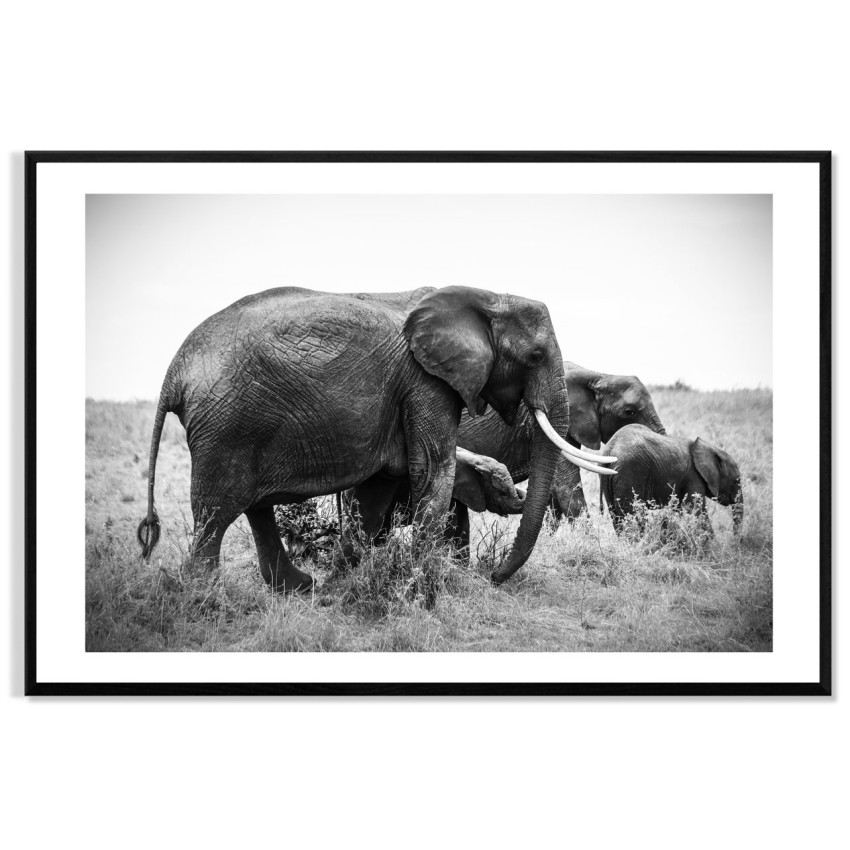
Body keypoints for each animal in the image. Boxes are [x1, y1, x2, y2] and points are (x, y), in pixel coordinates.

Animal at [137, 285, 613, 593]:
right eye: (534, 355)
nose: (492, 577)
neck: (485, 296)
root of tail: (173, 374)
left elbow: (380, 487)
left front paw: (353, 573)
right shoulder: (426, 383)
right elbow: (432, 469)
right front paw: (421, 581)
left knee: (253, 507)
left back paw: (301, 588)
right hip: (228, 426)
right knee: (217, 508)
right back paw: (205, 596)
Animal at [599, 424, 743, 534]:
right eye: (737, 481)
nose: (735, 541)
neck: (711, 449)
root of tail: (611, 448)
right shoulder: (693, 477)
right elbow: (697, 512)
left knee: (617, 516)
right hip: (630, 471)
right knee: (633, 513)